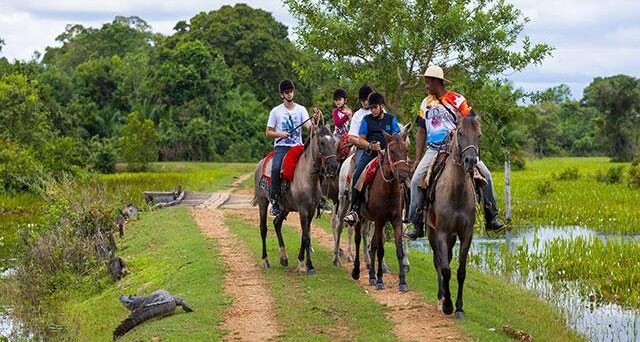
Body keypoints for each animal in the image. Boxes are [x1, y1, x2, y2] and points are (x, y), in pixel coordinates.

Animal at [251, 124, 338, 274]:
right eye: (322, 142)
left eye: (334, 142)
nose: (333, 166)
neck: (307, 176)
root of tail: (260, 164)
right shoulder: (303, 210)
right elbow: (306, 237)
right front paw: (305, 265)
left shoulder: (311, 210)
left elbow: (305, 235)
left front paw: (305, 263)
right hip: (263, 202)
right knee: (263, 229)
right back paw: (266, 260)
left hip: (284, 207)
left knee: (277, 223)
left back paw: (283, 257)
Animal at [352, 123, 412, 292]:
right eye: (391, 151)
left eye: (406, 149)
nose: (403, 176)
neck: (388, 189)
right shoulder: (379, 220)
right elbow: (380, 250)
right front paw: (380, 280)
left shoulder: (395, 220)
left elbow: (398, 249)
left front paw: (402, 281)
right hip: (361, 217)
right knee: (358, 240)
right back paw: (357, 271)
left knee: (372, 244)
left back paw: (371, 275)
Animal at [424, 116, 480, 320]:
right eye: (460, 133)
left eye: (479, 135)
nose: (470, 161)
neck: (456, 193)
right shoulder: (440, 232)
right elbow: (445, 269)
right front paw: (448, 305)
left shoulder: (466, 234)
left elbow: (461, 271)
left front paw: (460, 308)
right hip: (432, 233)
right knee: (438, 262)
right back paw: (441, 298)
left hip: (452, 236)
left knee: (445, 257)